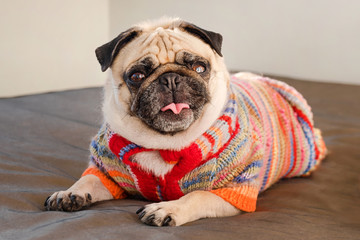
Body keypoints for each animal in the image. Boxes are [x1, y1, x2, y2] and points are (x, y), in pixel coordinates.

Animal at [45, 17, 326, 227]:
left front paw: (167, 209)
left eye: (200, 68)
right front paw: (70, 193)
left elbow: (196, 196)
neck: (165, 143)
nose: (170, 79)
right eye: (137, 76)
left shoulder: (234, 190)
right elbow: (89, 180)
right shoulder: (108, 173)